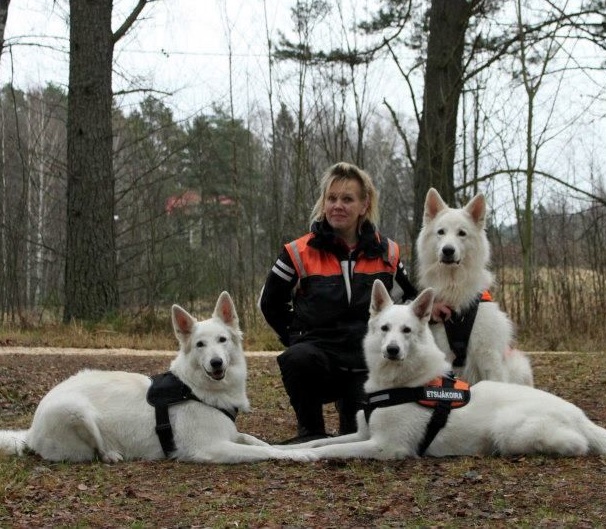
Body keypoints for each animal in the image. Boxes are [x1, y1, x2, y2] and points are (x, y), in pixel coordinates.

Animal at [0, 292, 312, 464]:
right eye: (200, 344)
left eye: (222, 340)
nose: (216, 363)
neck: (195, 389)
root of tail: (31, 431)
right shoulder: (212, 447)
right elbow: (266, 452)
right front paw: (305, 454)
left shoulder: (231, 434)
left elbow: (261, 442)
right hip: (75, 410)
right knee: (95, 449)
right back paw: (110, 455)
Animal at [276, 281, 606, 459]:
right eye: (385, 329)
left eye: (407, 331)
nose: (392, 350)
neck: (400, 382)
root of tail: (580, 415)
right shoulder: (362, 433)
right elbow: (321, 440)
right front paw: (280, 448)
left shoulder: (385, 446)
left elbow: (325, 451)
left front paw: (298, 455)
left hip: (510, 430)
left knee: (576, 445)